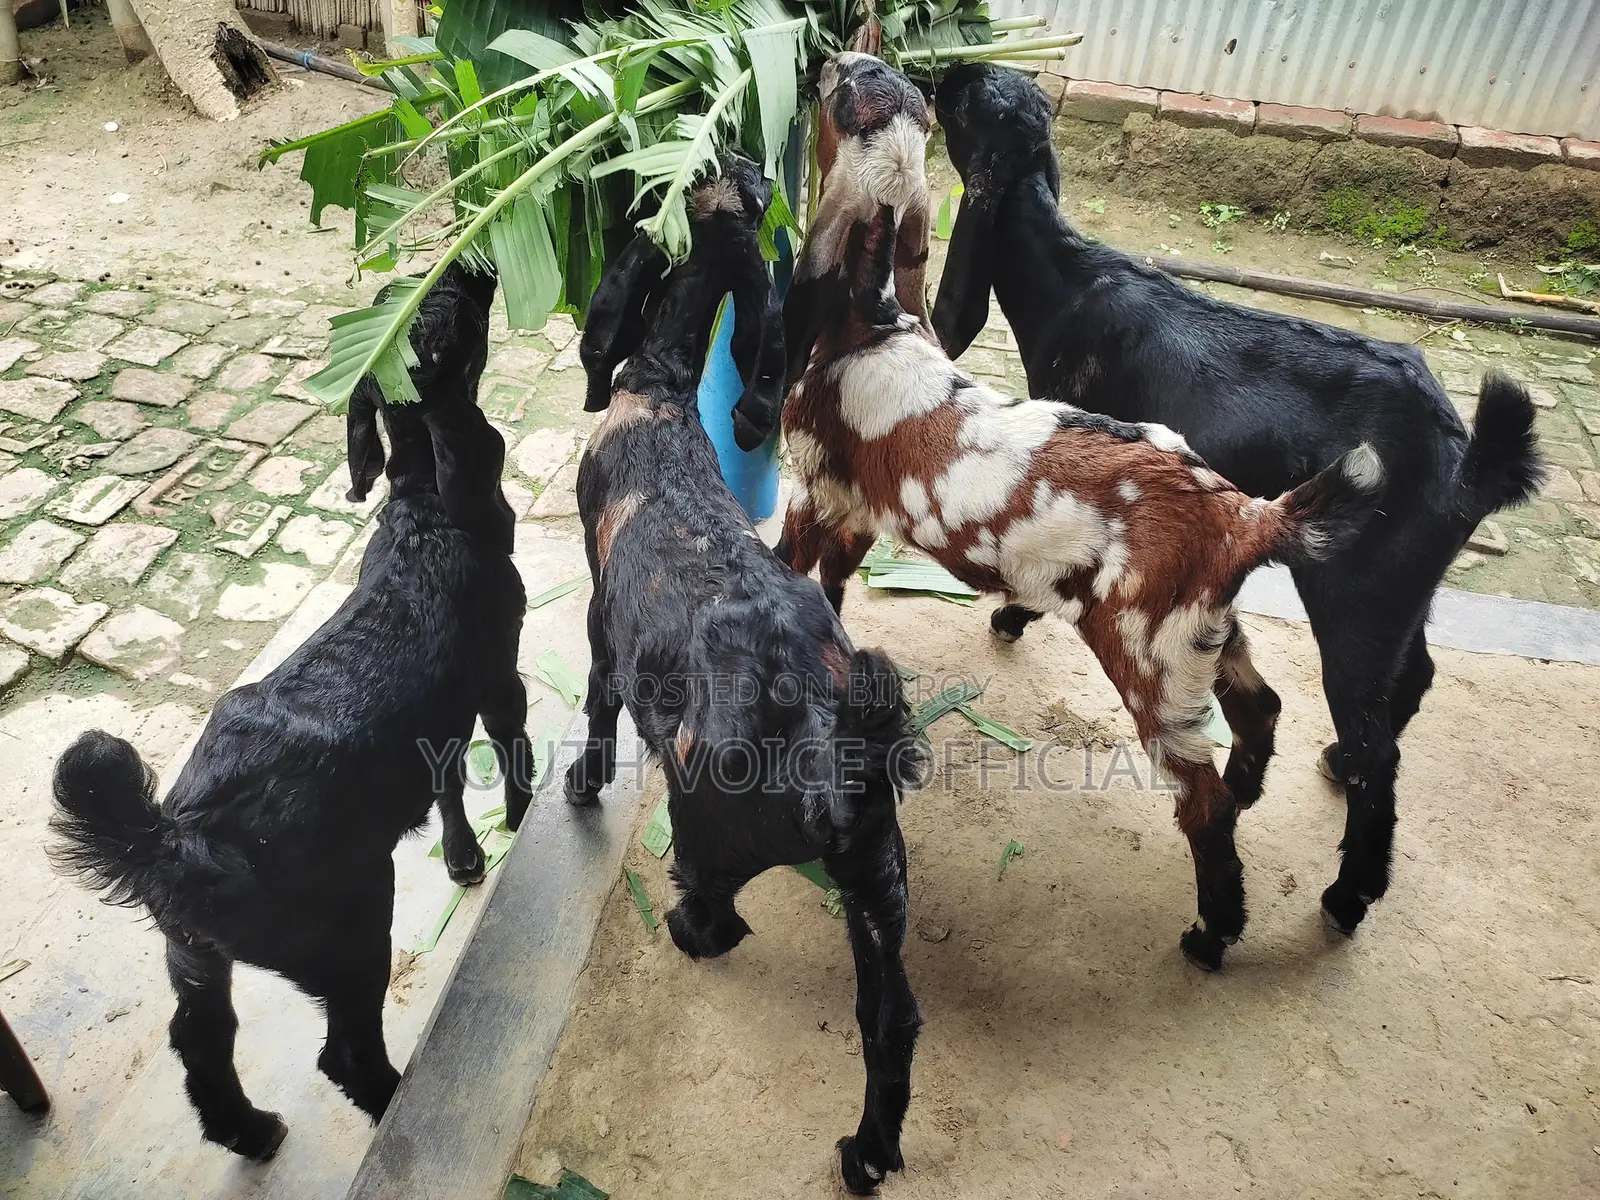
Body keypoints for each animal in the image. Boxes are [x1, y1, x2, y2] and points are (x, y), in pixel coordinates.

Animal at [48, 266, 532, 1158]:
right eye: (449, 313)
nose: (469, 267)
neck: (427, 512)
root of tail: (168, 837)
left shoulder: (439, 722)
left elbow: (448, 783)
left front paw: (463, 855)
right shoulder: (495, 678)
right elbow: (512, 749)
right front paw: (518, 822)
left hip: (193, 958)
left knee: (200, 1042)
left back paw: (248, 1132)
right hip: (349, 930)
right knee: (345, 1052)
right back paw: (392, 1107)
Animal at [570, 151, 927, 1194]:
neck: (661, 397)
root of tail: (828, 752)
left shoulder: (603, 620)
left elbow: (596, 707)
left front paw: (580, 786)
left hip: (709, 833)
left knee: (719, 914)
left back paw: (688, 934)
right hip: (878, 884)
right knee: (889, 1023)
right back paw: (866, 1152)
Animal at [779, 52, 1386, 972]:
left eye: (844, 100)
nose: (834, 60)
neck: (873, 321)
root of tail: (1248, 517)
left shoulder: (815, 489)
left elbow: (788, 570)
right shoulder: (860, 509)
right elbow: (835, 589)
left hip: (1147, 657)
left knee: (1199, 799)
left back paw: (1213, 933)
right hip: (1204, 632)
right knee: (1261, 708)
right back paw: (1248, 799)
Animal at [931, 63, 1546, 938]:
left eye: (967, 104)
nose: (940, 74)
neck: (1066, 275)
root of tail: (1464, 460)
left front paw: (1013, 614)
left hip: (1356, 598)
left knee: (1380, 745)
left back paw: (1349, 893)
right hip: (1401, 588)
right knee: (1411, 682)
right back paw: (1326, 770)